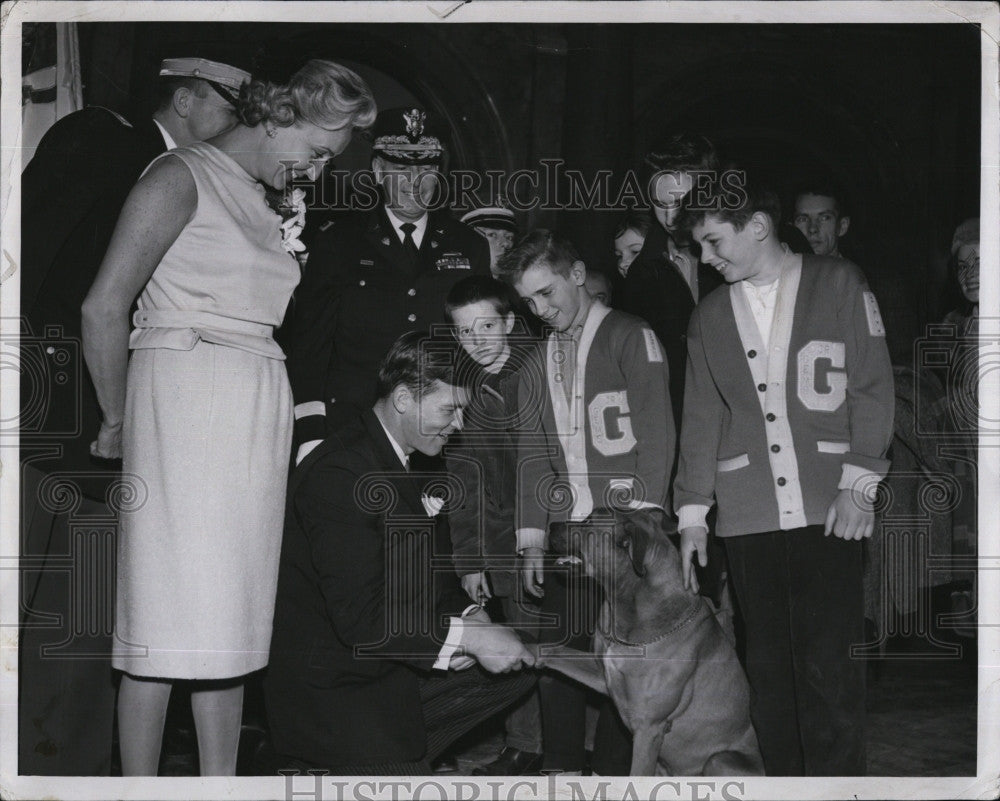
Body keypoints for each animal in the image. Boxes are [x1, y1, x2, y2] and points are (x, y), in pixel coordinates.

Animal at [540, 506, 764, 776]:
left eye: (590, 522)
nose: (551, 526)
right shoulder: (602, 674)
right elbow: (553, 652)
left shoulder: (648, 729)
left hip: (719, 761)